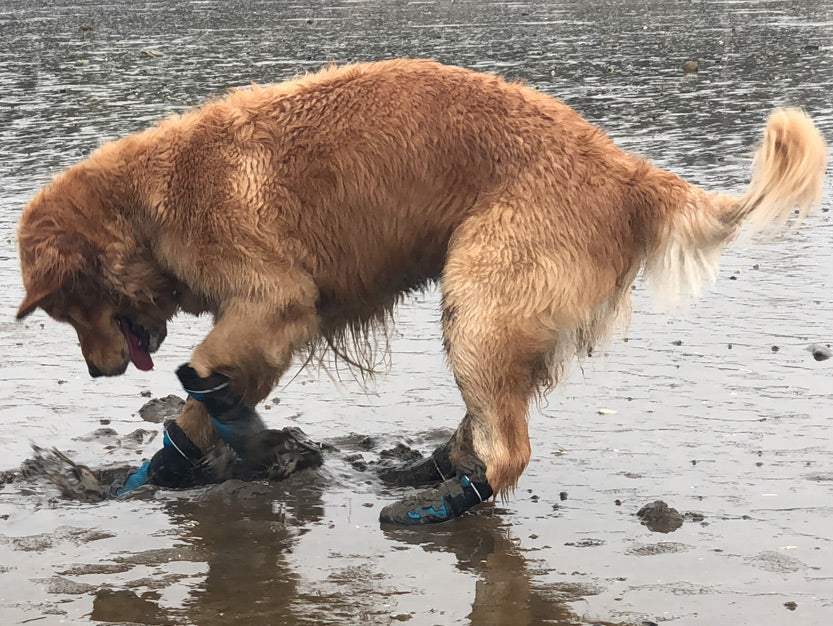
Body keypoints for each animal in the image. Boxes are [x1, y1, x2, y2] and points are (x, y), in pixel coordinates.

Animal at [14, 62, 824, 520]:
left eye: (66, 310)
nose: (95, 371)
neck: (146, 205)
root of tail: (627, 173)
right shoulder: (269, 325)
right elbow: (203, 403)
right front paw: (170, 467)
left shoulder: (276, 299)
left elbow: (200, 373)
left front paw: (241, 441)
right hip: (490, 313)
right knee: (490, 417)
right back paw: (431, 466)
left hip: (480, 298)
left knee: (508, 448)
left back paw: (444, 502)